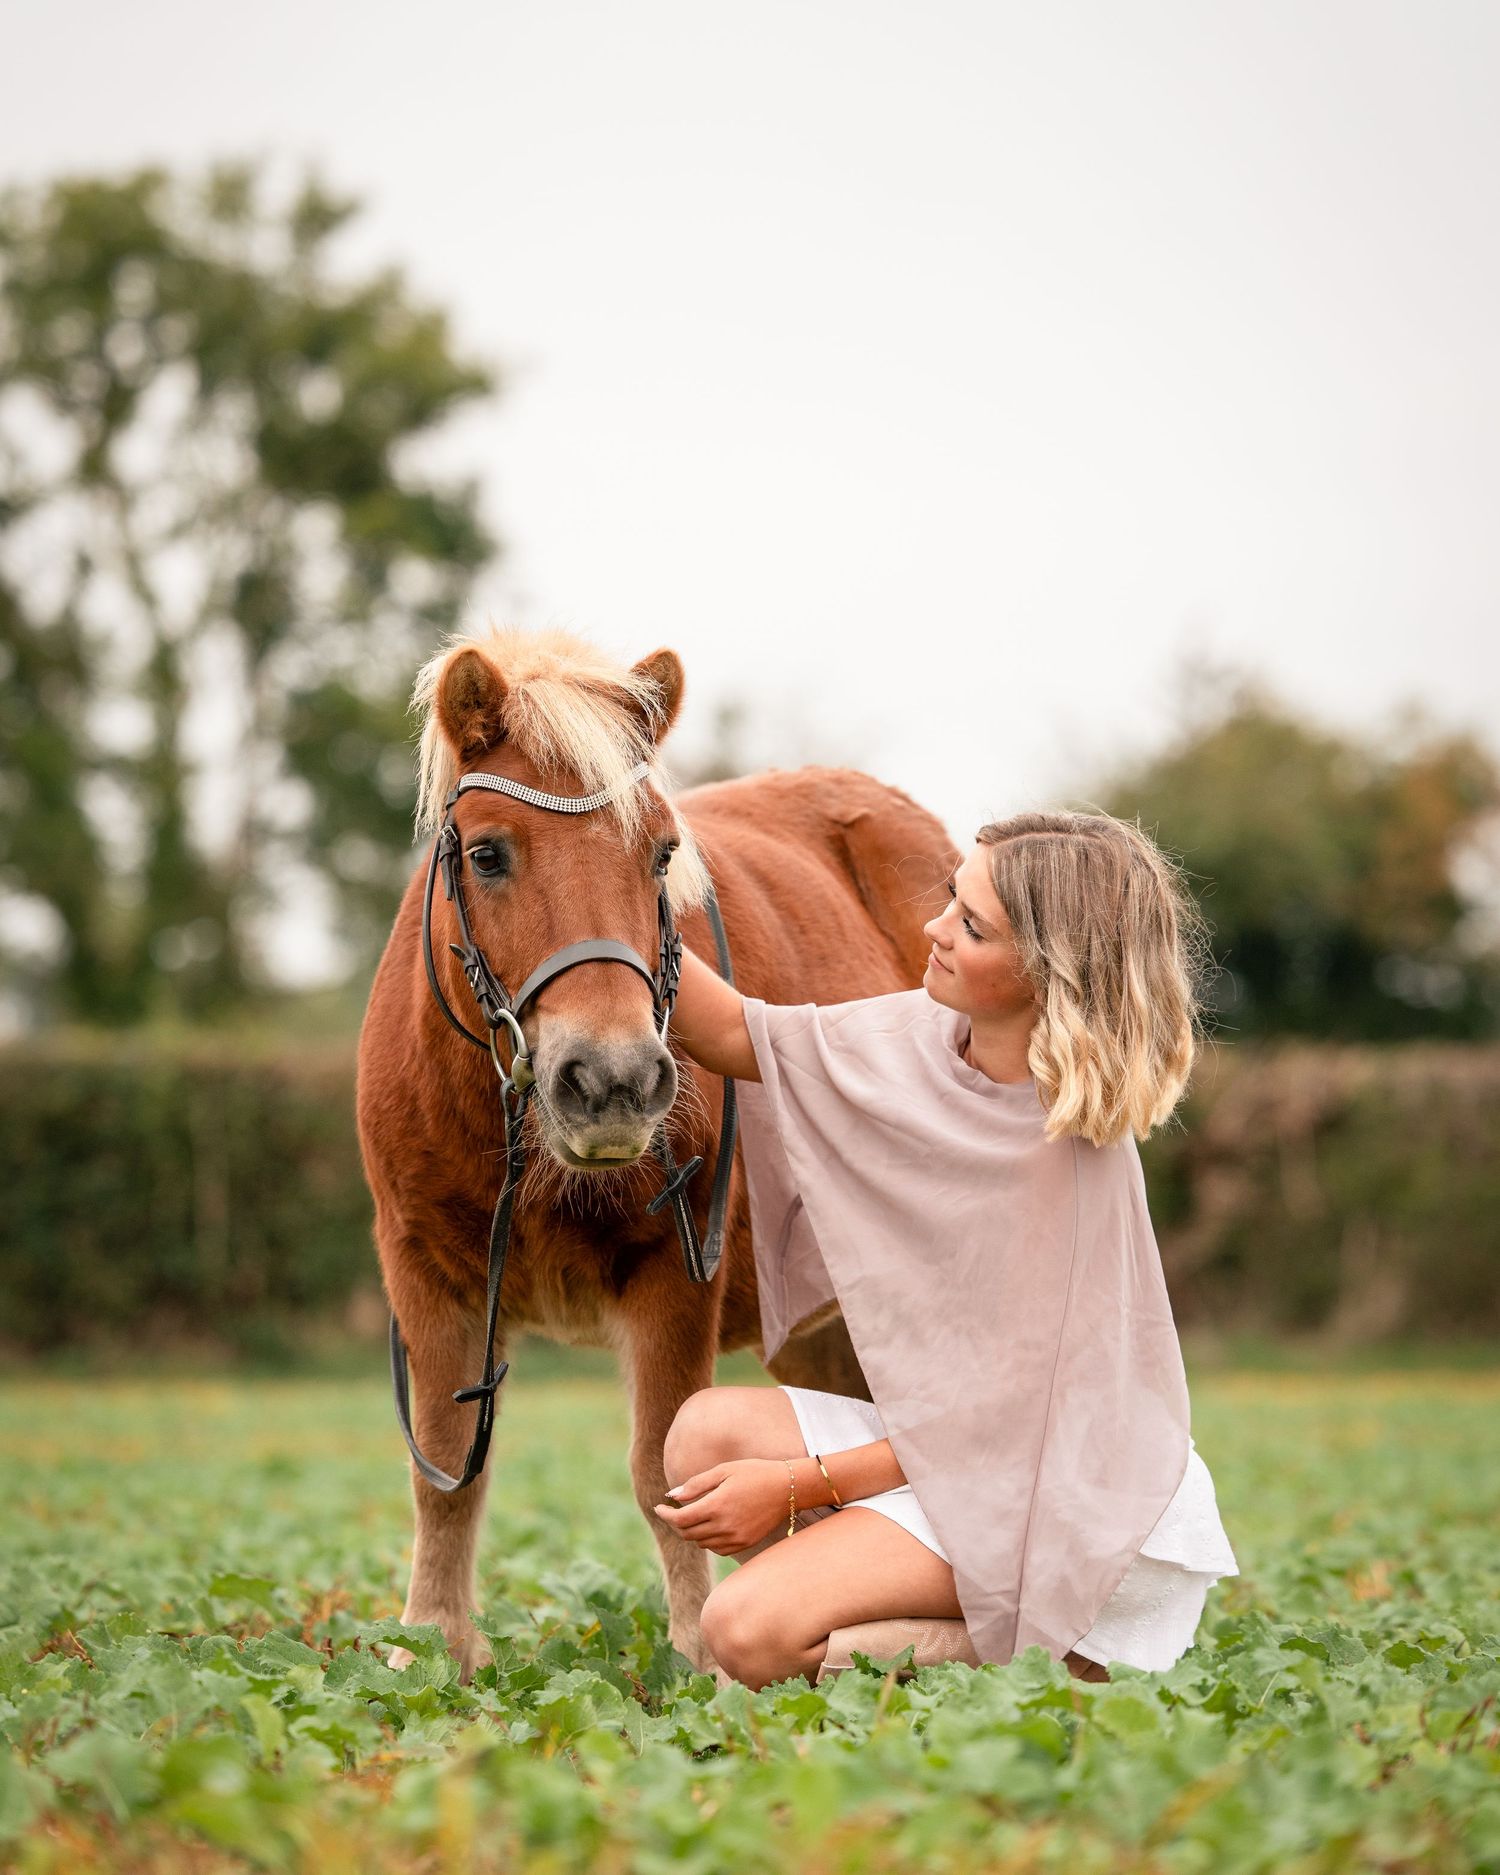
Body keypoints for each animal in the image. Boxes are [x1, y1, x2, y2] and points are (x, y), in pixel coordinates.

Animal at [356, 624, 956, 1676]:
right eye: (487, 854)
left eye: (662, 853)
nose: (614, 1081)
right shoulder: (426, 1273)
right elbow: (446, 1468)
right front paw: (430, 1647)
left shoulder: (674, 1276)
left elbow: (661, 1471)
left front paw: (698, 1656)